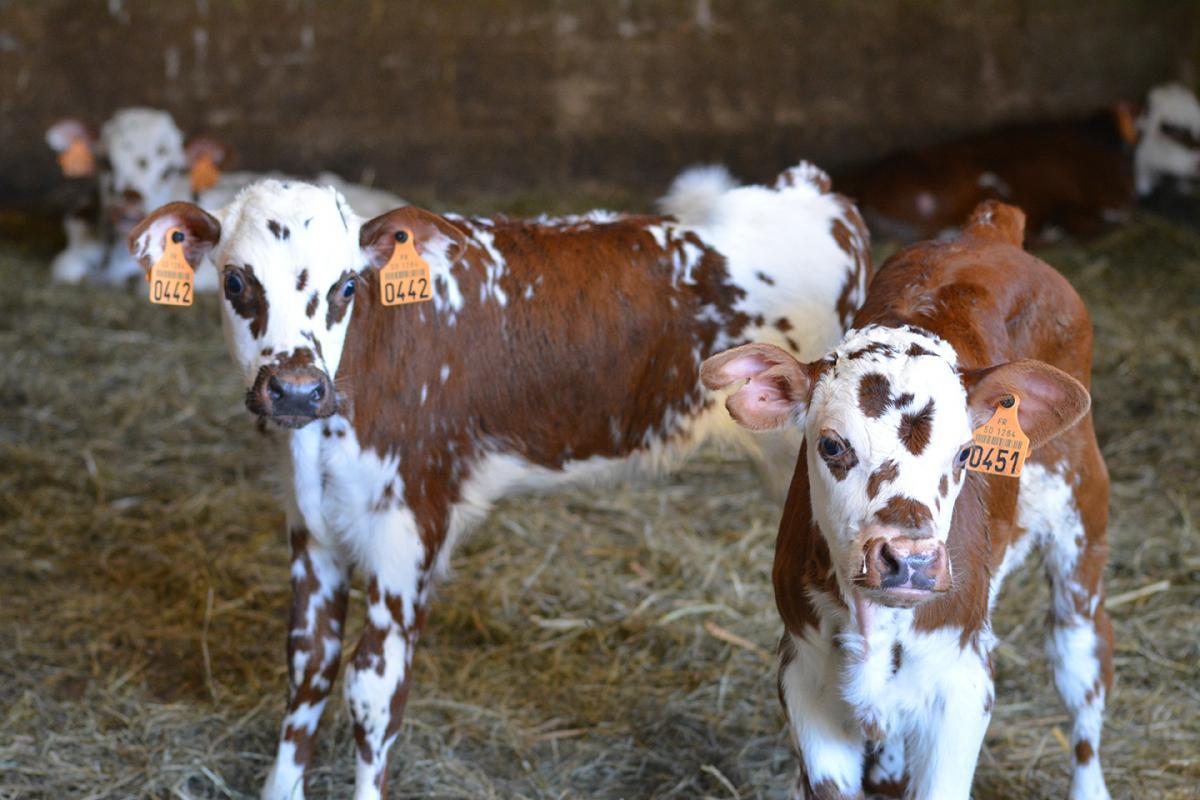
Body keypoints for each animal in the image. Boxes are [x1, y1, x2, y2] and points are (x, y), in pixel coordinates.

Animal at [124, 164, 873, 800]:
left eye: (345, 287)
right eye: (235, 283)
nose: (296, 390)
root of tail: (808, 188)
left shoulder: (409, 525)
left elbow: (373, 687)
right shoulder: (311, 529)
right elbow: (308, 665)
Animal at [700, 201, 1113, 800]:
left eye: (965, 453)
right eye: (831, 445)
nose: (910, 561)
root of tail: (990, 229)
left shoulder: (964, 678)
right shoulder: (803, 673)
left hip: (1082, 534)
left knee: (1081, 668)